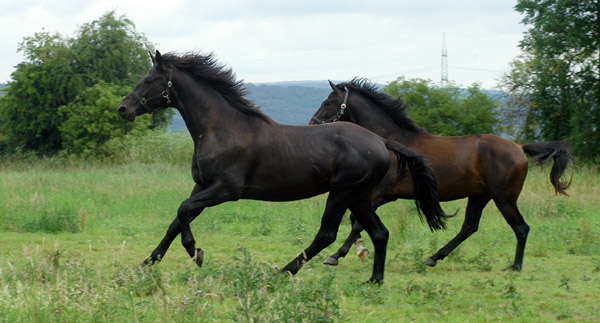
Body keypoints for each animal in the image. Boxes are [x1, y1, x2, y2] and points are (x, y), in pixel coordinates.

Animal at [116, 51, 450, 284]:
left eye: (149, 80)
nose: (123, 108)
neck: (223, 128)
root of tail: (382, 142)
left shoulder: (225, 190)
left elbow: (183, 211)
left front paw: (195, 252)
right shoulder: (202, 186)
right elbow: (176, 219)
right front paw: (146, 263)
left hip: (342, 193)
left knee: (326, 234)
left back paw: (284, 272)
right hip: (361, 197)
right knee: (379, 233)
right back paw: (374, 280)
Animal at [310, 79, 572, 270]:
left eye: (327, 102)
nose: (312, 125)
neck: (389, 141)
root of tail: (519, 148)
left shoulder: (381, 194)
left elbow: (357, 223)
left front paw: (336, 255)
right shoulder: (378, 195)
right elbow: (356, 221)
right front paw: (350, 252)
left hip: (504, 198)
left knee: (521, 227)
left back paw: (515, 267)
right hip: (480, 196)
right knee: (469, 227)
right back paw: (433, 257)